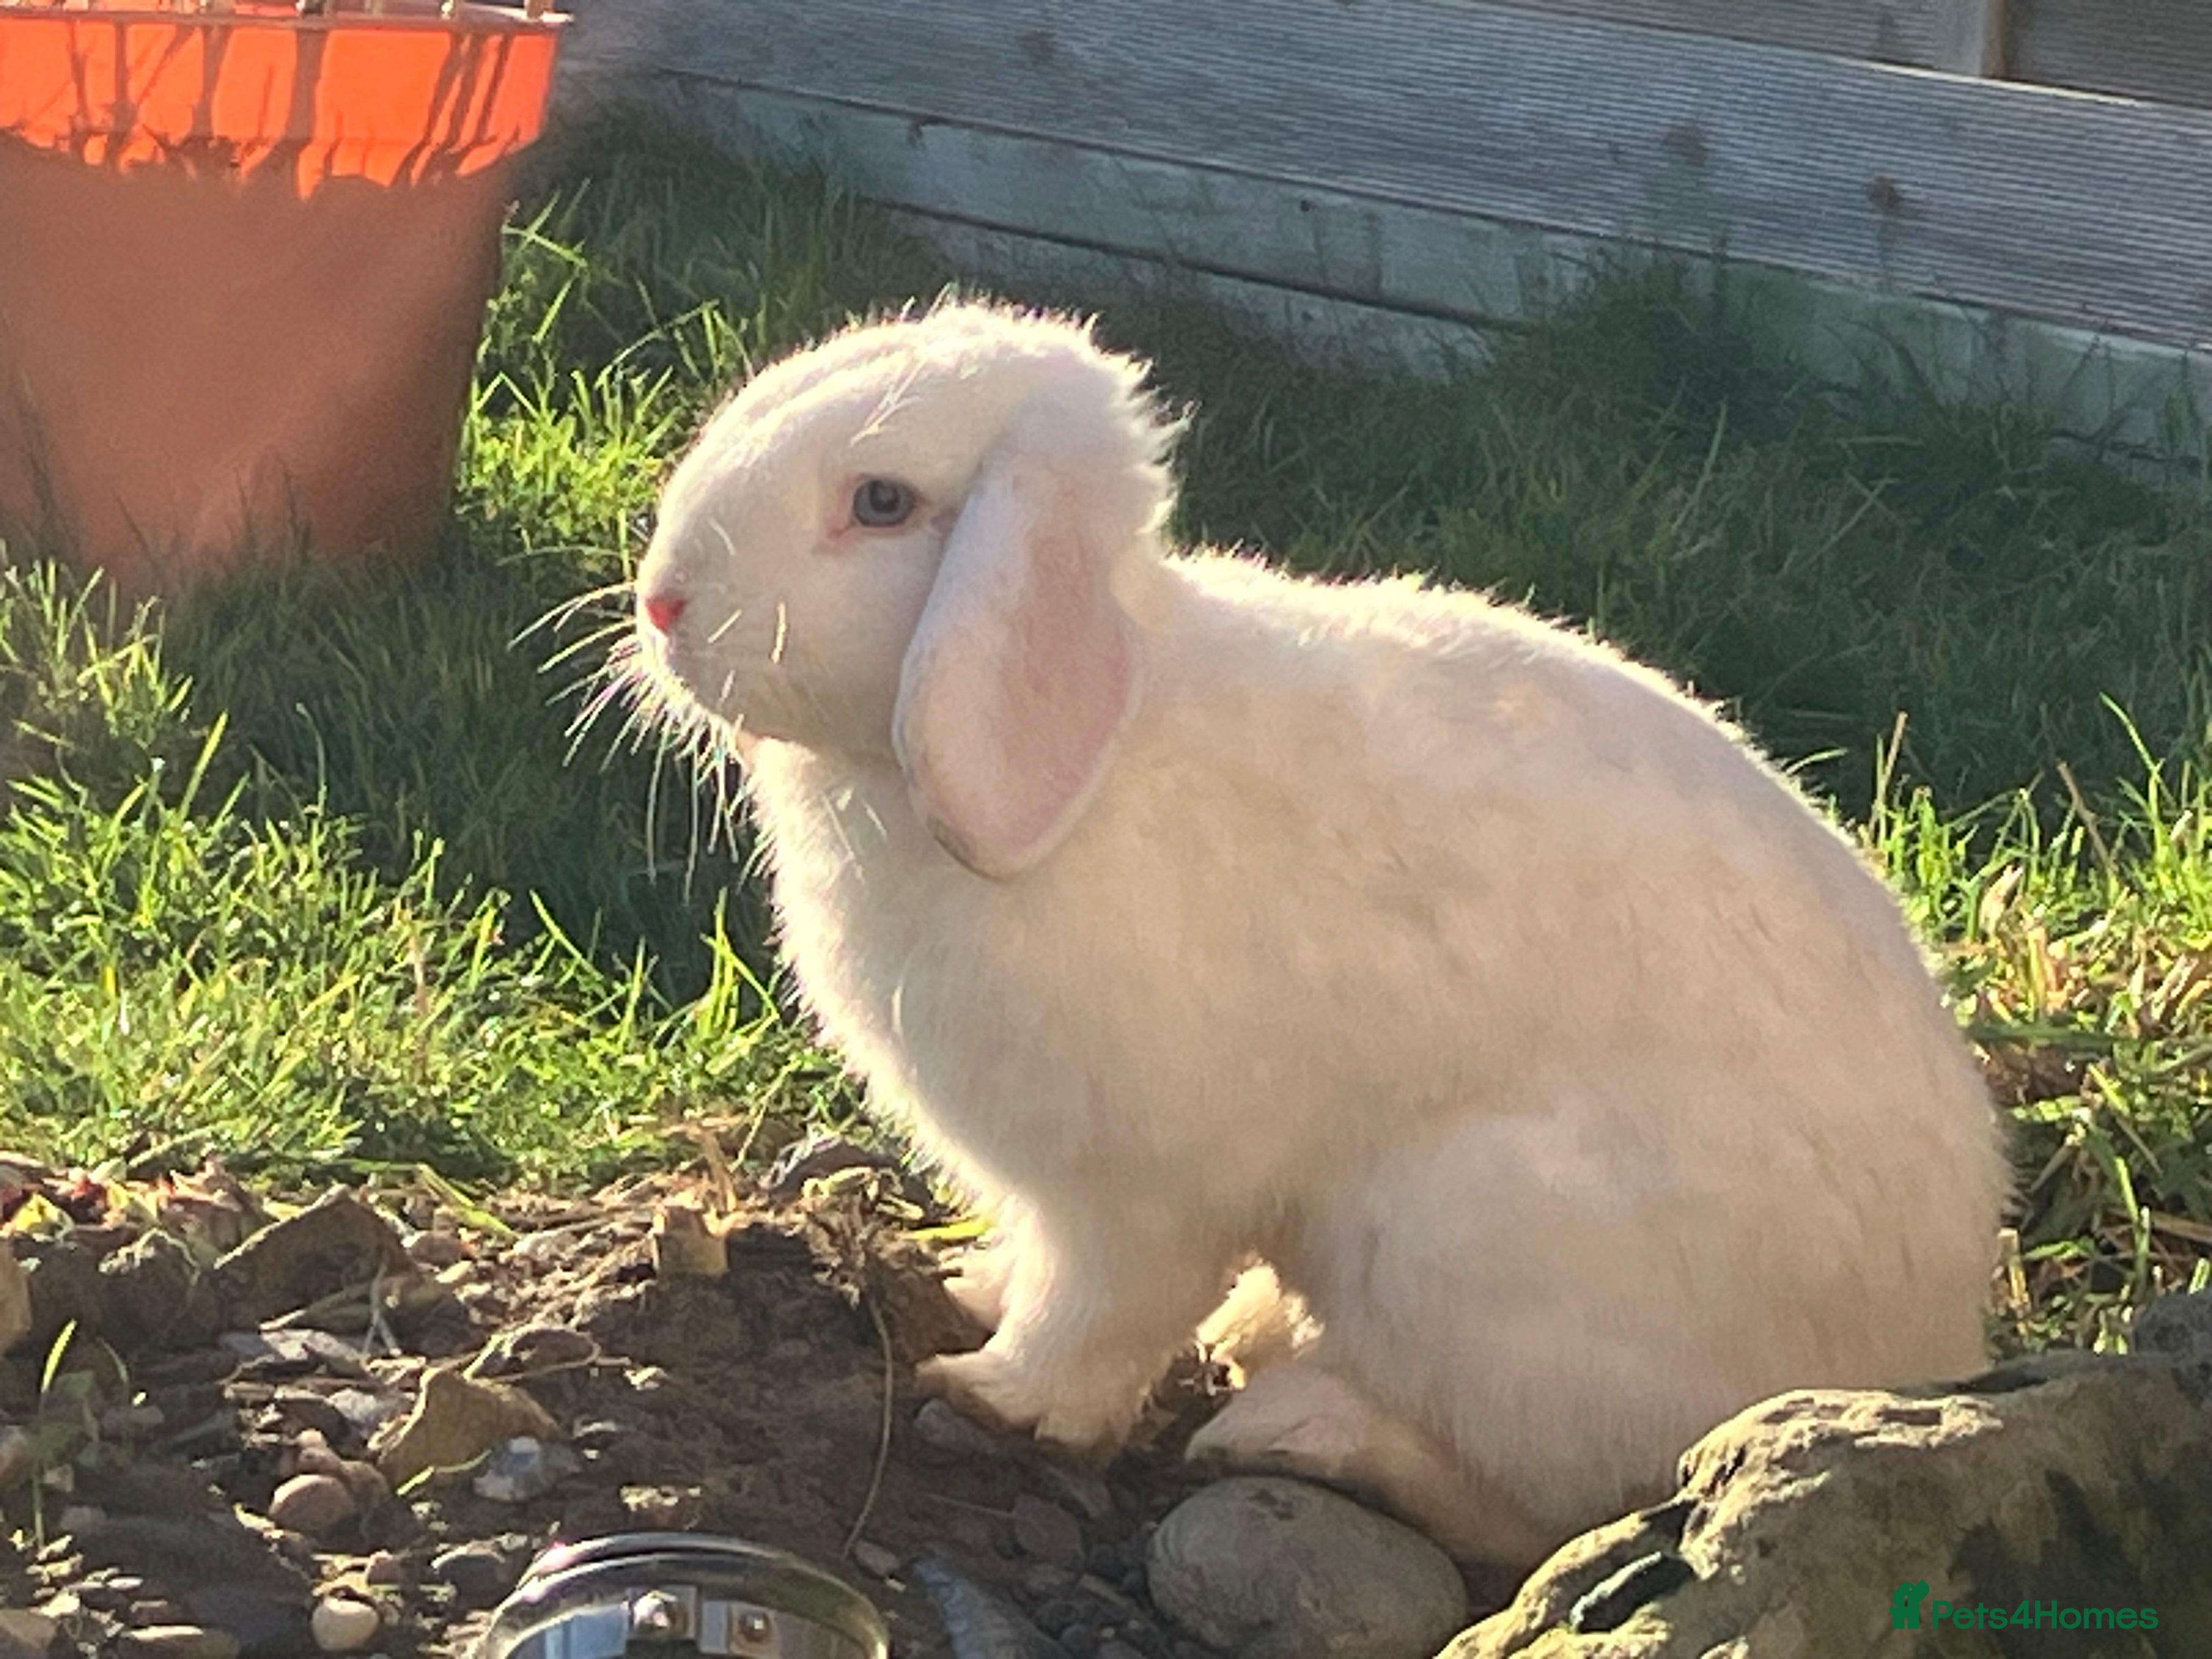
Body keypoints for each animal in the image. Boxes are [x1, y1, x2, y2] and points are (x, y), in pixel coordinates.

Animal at [626, 298, 2008, 1566]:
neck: (1109, 744)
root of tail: (1926, 1350)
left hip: (1472, 1246)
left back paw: (1297, 1429)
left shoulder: (1139, 1191)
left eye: (880, 501)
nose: (665, 602)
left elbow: (1098, 1316)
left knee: (1555, 1506)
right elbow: (1037, 1267)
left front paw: (989, 1394)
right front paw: (964, 1293)